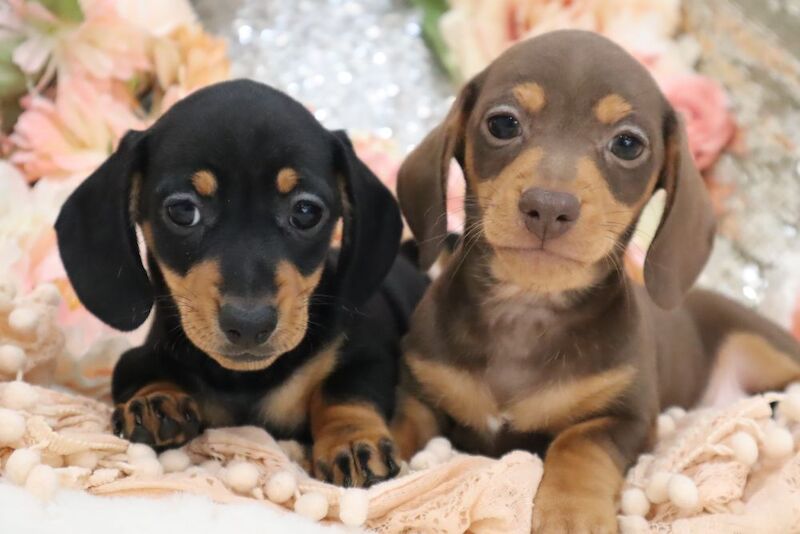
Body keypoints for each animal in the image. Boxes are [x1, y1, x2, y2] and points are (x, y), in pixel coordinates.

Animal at [54, 80, 432, 490]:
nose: (249, 325)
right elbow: (140, 370)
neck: (245, 380)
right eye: (182, 210)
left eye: (306, 211)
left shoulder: (365, 353)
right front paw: (155, 401)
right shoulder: (141, 354)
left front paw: (351, 441)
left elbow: (345, 390)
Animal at [394, 31, 800, 532]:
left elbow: (578, 444)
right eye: (503, 124)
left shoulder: (627, 417)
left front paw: (573, 512)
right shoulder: (421, 392)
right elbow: (399, 422)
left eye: (627, 144)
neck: (526, 310)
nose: (549, 206)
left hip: (765, 348)